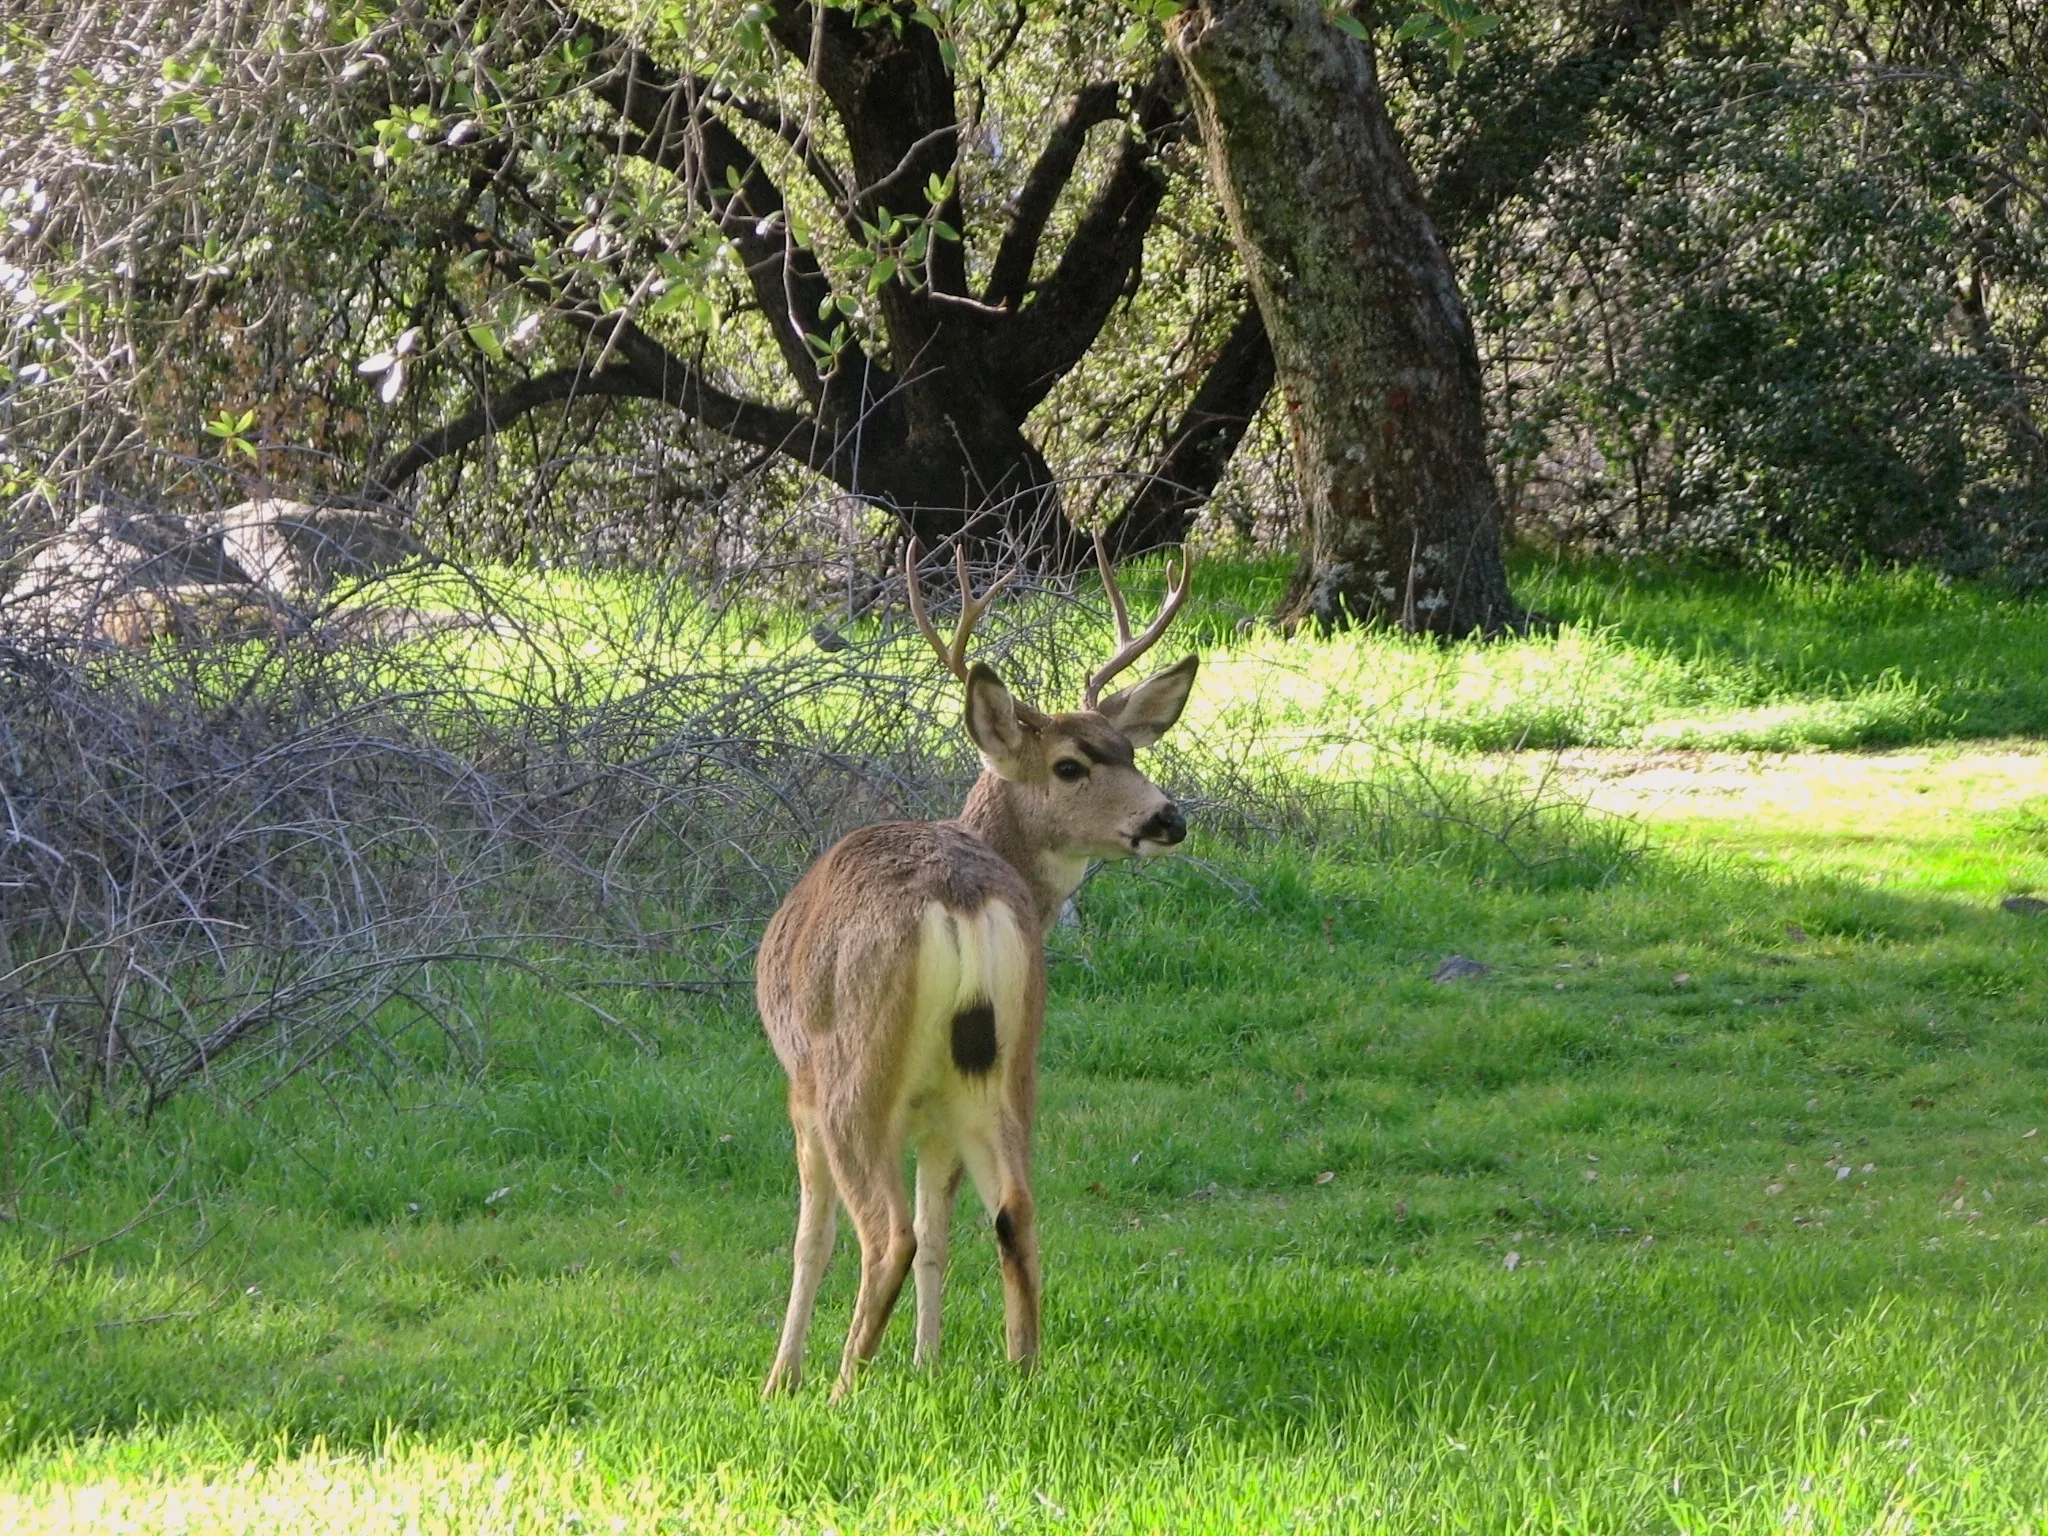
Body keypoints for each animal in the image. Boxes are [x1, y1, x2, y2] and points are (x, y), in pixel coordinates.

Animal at [755, 535, 1198, 1399]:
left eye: (1128, 752)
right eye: (1073, 764)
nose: (1169, 817)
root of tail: (959, 897)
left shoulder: (799, 1090)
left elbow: (810, 1240)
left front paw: (780, 1380)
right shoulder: (939, 1112)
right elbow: (942, 1231)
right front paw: (927, 1365)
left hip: (854, 1072)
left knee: (884, 1234)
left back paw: (841, 1389)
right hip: (1008, 1068)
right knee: (1013, 1212)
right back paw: (1021, 1375)